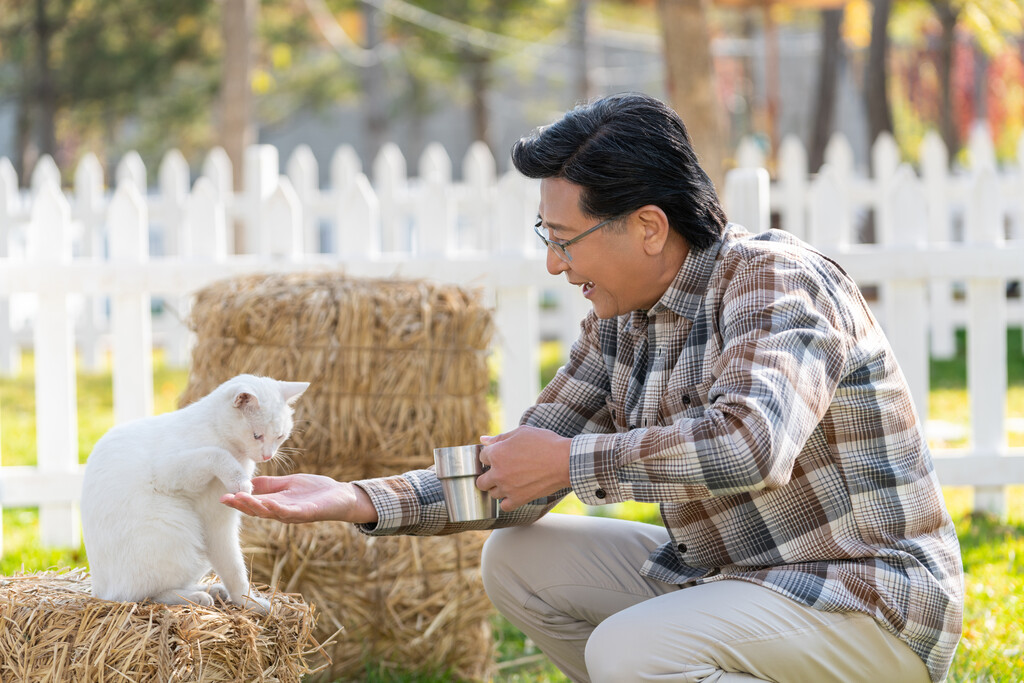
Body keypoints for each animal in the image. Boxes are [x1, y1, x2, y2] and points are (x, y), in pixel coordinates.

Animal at [80, 374, 307, 614]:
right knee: (142, 595)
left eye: (280, 436)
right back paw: (196, 597)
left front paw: (247, 602)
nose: (267, 456)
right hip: (173, 532)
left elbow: (235, 570)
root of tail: (98, 590)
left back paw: (211, 590)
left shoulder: (219, 522)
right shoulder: (168, 472)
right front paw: (239, 480)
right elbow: (215, 454)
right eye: (257, 436)